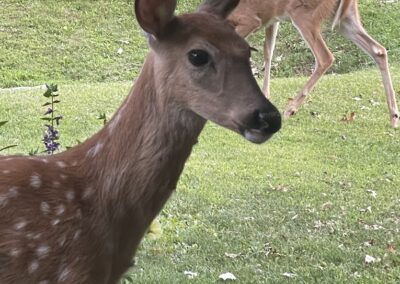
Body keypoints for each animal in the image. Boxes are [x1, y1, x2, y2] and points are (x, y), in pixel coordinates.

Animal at [228, 0, 400, 127]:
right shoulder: (271, 19)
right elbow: (268, 51)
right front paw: (264, 96)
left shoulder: (250, 19)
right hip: (345, 18)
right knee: (379, 50)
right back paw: (394, 117)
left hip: (305, 14)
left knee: (325, 57)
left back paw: (291, 109)